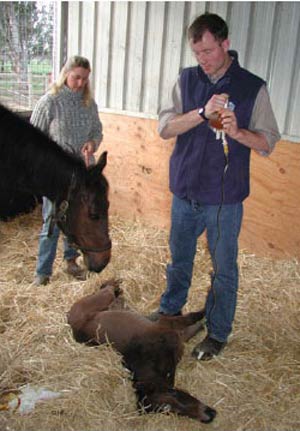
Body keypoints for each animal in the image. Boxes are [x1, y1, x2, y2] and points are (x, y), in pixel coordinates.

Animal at [67, 280, 217, 426]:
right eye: (170, 412)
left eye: (173, 395)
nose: (209, 417)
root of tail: (71, 323)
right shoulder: (173, 330)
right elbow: (192, 325)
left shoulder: (169, 325)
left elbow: (193, 317)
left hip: (101, 299)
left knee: (107, 289)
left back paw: (116, 285)